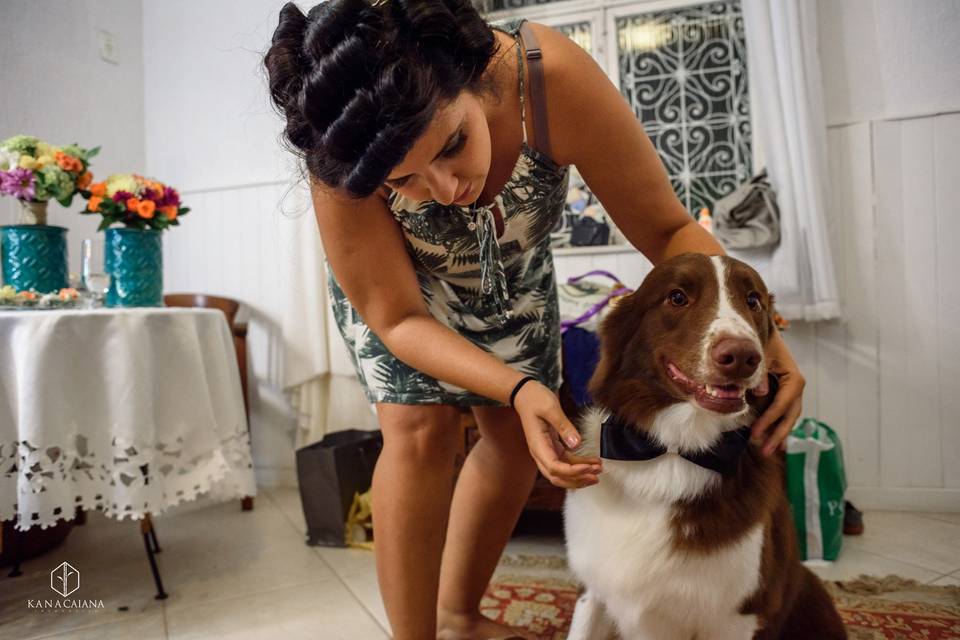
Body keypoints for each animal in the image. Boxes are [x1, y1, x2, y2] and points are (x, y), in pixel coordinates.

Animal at [568, 254, 844, 640]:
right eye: (677, 297)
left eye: (753, 301)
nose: (742, 357)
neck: (674, 450)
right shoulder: (592, 588)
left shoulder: (739, 614)